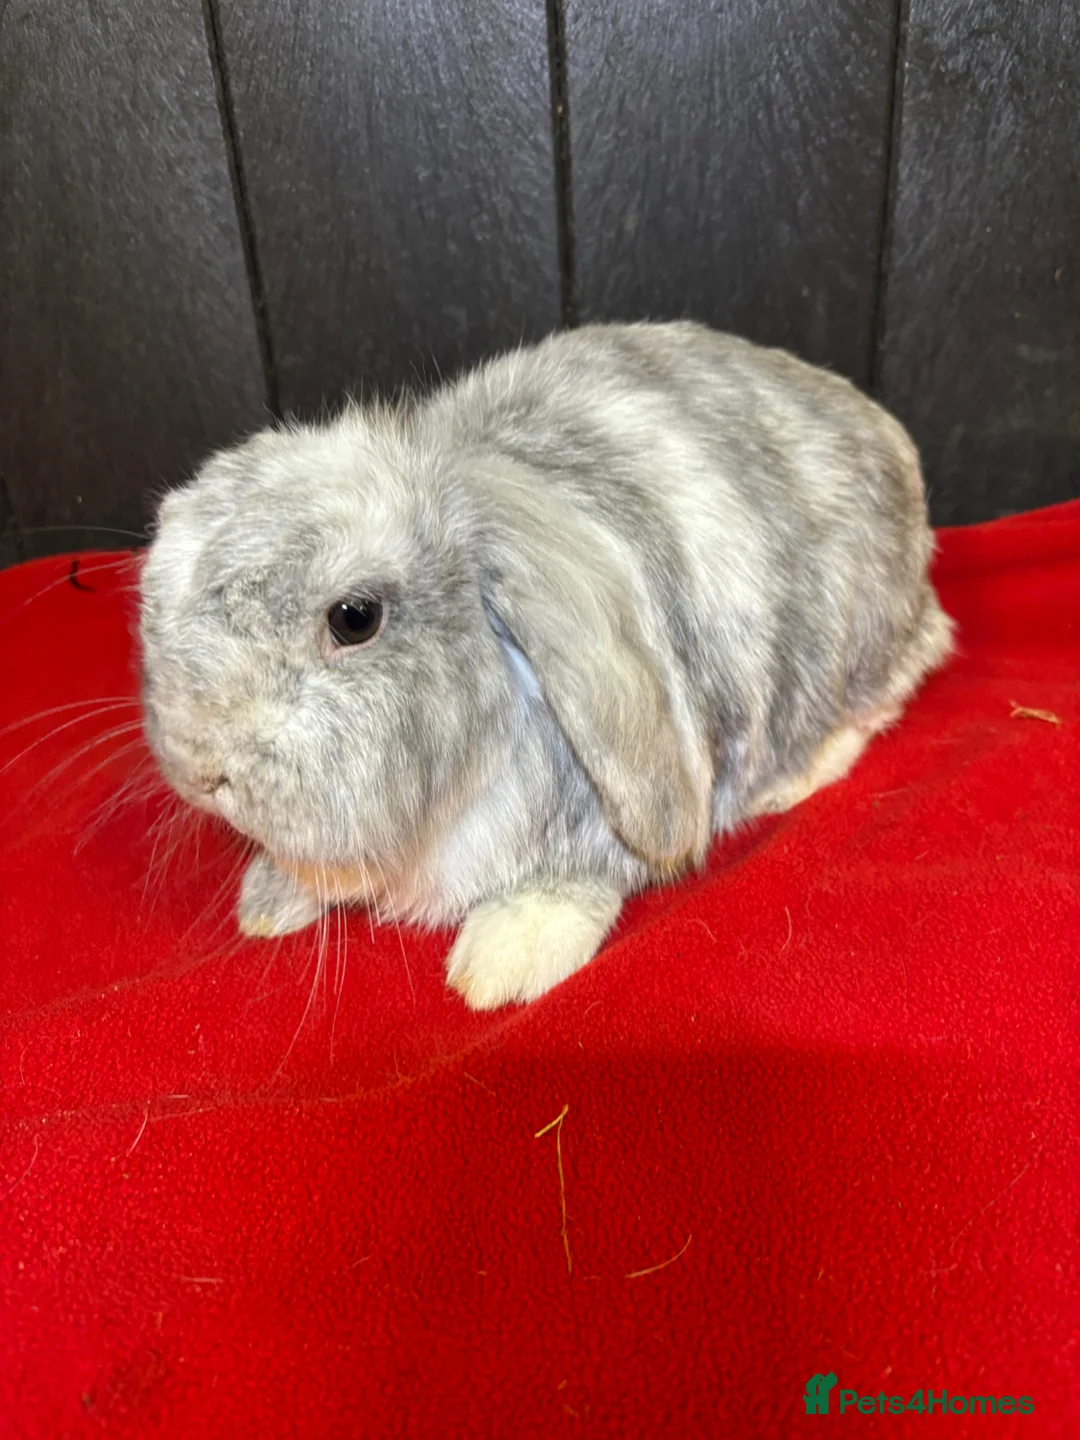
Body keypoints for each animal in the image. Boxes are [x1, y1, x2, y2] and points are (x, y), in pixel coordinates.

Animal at [139, 321, 954, 1009]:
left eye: (354, 617)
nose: (201, 771)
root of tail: (884, 431)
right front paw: (268, 902)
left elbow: (577, 877)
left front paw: (504, 958)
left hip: (855, 644)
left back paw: (788, 785)